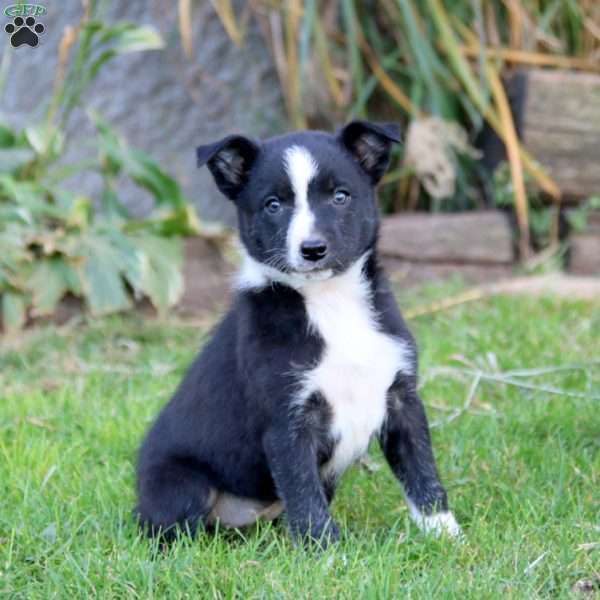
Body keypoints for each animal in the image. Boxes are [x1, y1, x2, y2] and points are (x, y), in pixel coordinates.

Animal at [136, 120, 460, 544]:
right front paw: (328, 551)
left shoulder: (402, 397)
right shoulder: (287, 422)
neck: (331, 302)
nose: (313, 249)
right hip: (181, 484)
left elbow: (423, 472)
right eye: (274, 205)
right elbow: (304, 495)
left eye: (340, 196)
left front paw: (447, 535)